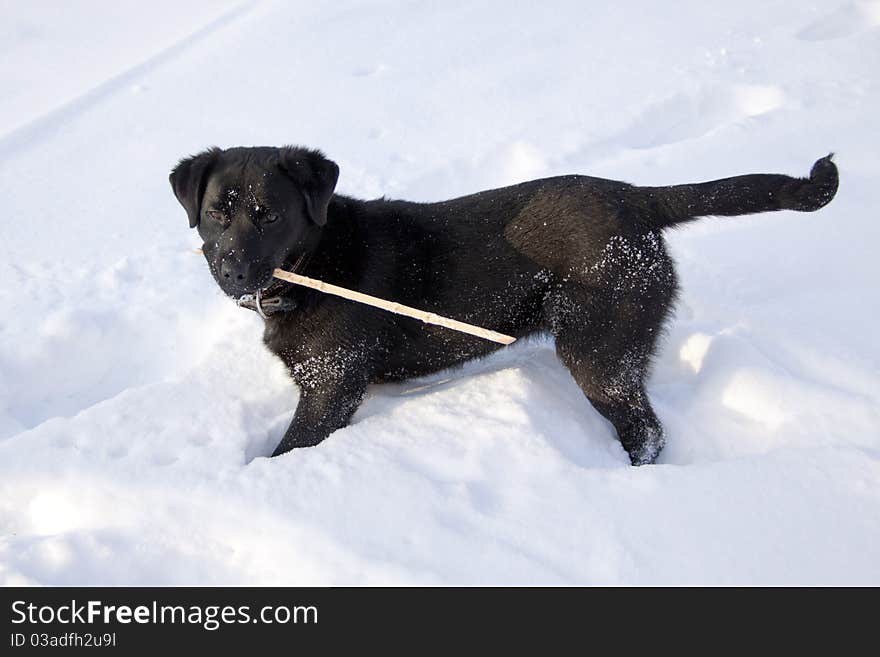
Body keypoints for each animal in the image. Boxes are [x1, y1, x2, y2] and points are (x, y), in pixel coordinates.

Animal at [172, 147, 840, 466]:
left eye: (269, 215)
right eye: (216, 213)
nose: (230, 269)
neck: (317, 261)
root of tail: (636, 197)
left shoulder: (329, 389)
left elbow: (284, 451)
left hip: (598, 348)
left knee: (646, 429)